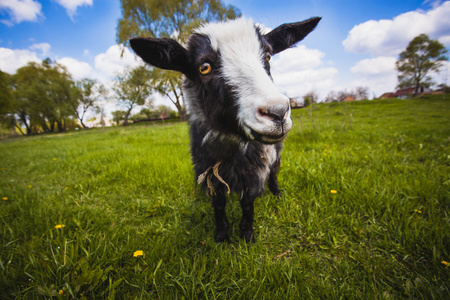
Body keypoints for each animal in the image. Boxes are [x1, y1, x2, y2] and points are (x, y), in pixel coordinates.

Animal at [129, 15, 320, 241]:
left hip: (277, 151)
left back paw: (277, 194)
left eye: (268, 56)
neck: (229, 153)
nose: (278, 112)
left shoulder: (253, 172)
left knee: (274, 173)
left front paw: (247, 236)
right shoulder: (209, 172)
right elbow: (218, 205)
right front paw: (221, 236)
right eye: (204, 67)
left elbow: (247, 204)